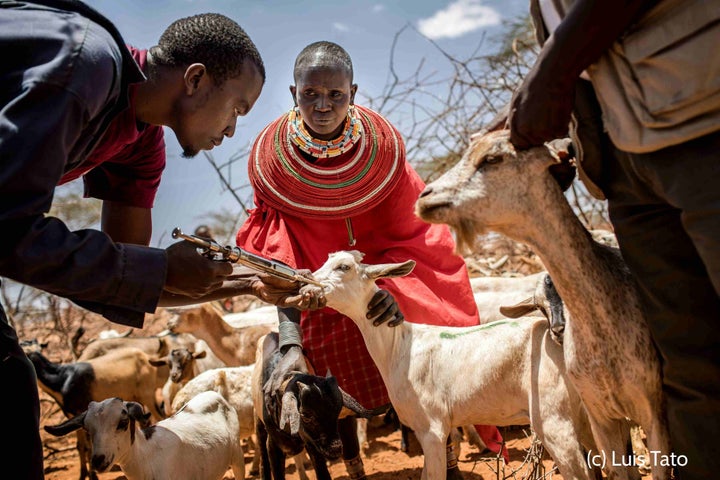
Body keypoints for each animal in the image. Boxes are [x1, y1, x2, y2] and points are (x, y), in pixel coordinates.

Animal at [47, 392, 248, 480]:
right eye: (88, 429)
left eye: (123, 423)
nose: (98, 460)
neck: (146, 457)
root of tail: (214, 395)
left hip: (237, 457)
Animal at [300, 249, 600, 480]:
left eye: (344, 266)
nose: (306, 285)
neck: (400, 346)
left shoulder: (432, 429)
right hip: (585, 419)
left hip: (554, 421)